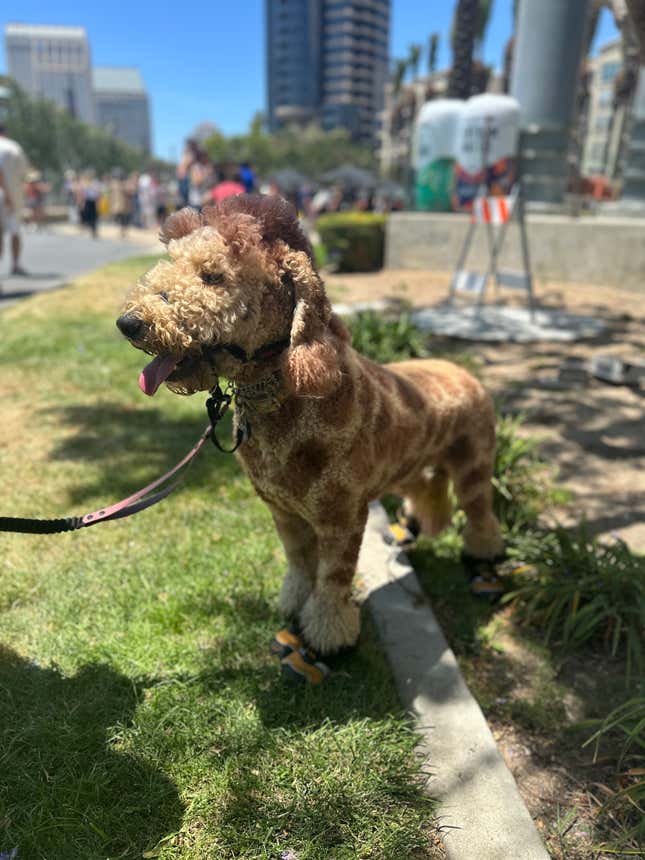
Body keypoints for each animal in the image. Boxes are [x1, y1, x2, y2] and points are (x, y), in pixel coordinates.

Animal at [117, 193, 504, 652]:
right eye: (171, 262)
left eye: (212, 276)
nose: (129, 323)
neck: (282, 393)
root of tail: (466, 372)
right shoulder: (285, 513)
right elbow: (300, 564)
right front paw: (293, 603)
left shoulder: (343, 519)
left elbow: (332, 579)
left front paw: (328, 632)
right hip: (412, 466)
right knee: (428, 489)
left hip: (474, 467)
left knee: (480, 513)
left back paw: (483, 552)